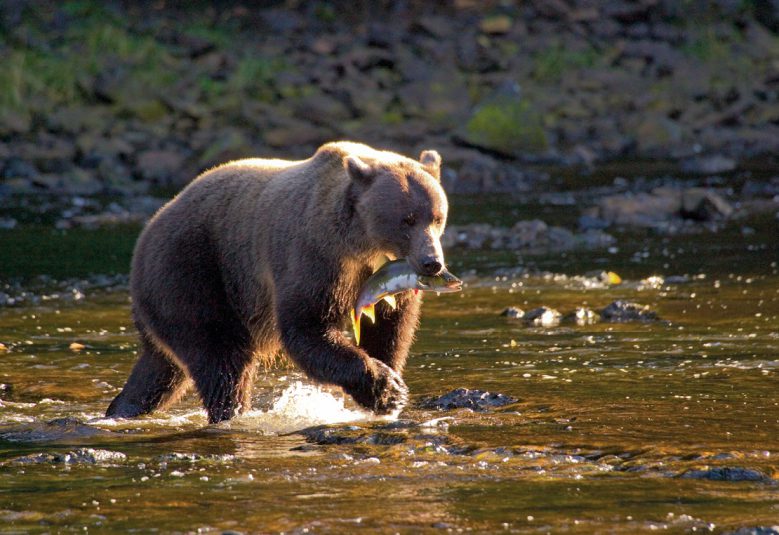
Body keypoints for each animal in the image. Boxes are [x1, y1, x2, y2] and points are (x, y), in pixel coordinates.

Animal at [106, 141, 448, 422]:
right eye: (407, 219)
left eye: (437, 217)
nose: (432, 262)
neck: (363, 245)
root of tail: (146, 233)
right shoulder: (313, 256)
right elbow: (307, 328)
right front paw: (385, 388)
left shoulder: (386, 281)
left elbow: (390, 327)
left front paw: (390, 382)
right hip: (192, 273)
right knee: (222, 359)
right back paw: (231, 411)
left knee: (161, 370)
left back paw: (123, 408)